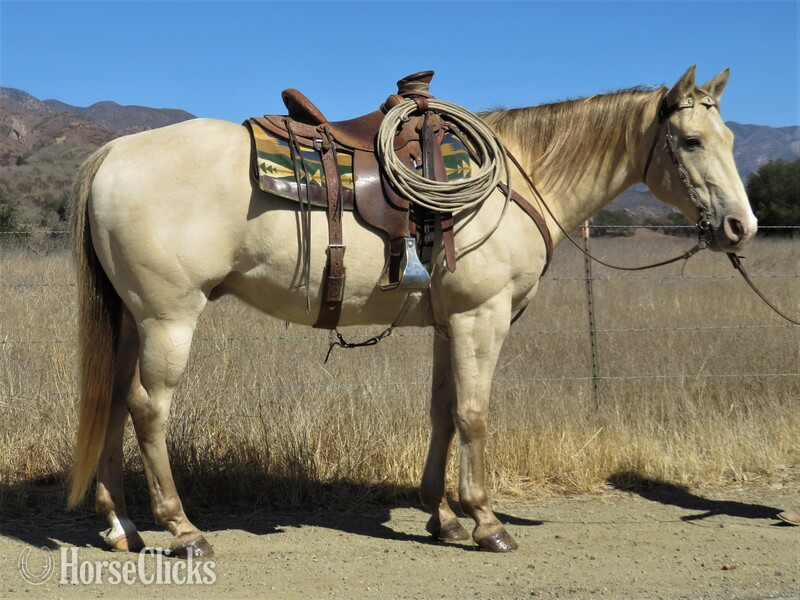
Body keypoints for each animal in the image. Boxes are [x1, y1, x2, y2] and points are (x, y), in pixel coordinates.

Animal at [67, 66, 756, 557]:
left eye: (727, 139)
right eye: (691, 141)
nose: (739, 227)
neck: (521, 178)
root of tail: (114, 153)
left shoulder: (450, 323)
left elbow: (443, 412)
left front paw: (442, 516)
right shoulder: (483, 315)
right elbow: (475, 414)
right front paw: (486, 520)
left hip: (130, 319)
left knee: (112, 402)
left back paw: (122, 525)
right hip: (168, 319)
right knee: (148, 410)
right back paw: (182, 530)